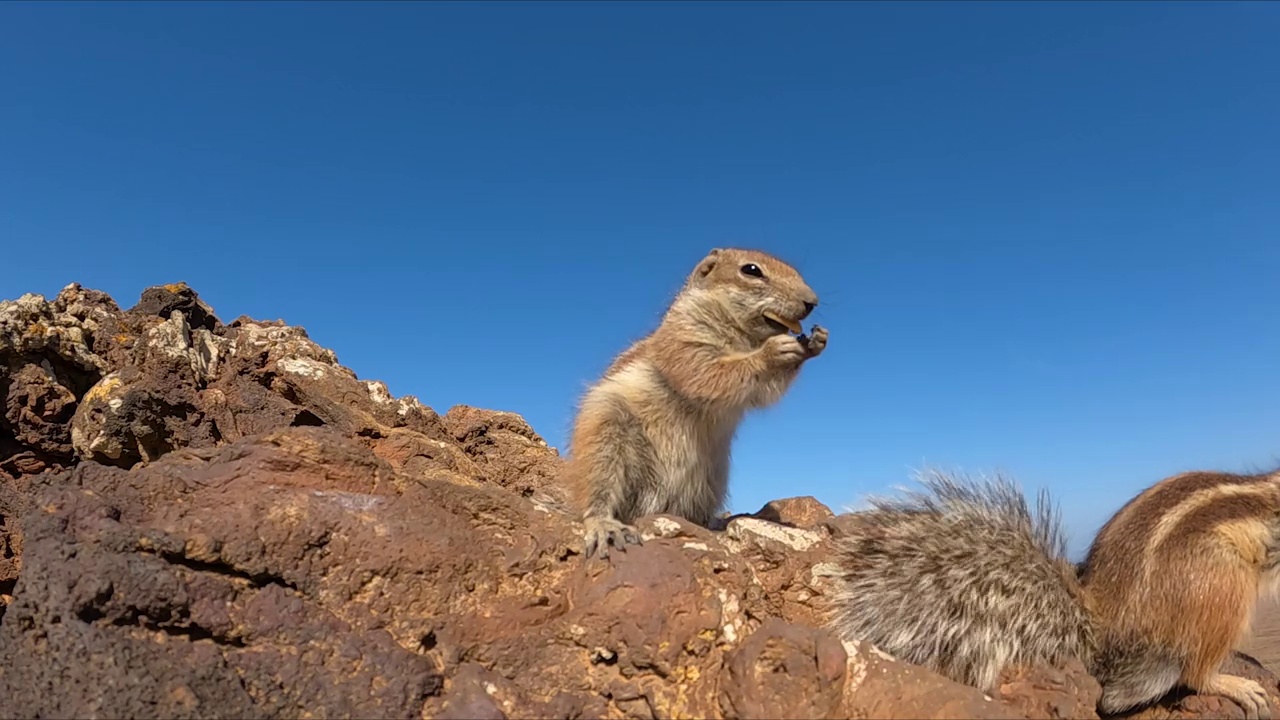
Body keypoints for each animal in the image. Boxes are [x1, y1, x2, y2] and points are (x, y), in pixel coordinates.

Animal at [563, 245, 824, 556]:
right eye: (751, 270)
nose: (812, 302)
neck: (743, 337)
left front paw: (816, 341)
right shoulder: (685, 338)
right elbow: (707, 372)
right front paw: (772, 352)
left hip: (712, 478)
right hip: (604, 437)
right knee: (596, 492)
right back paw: (605, 526)